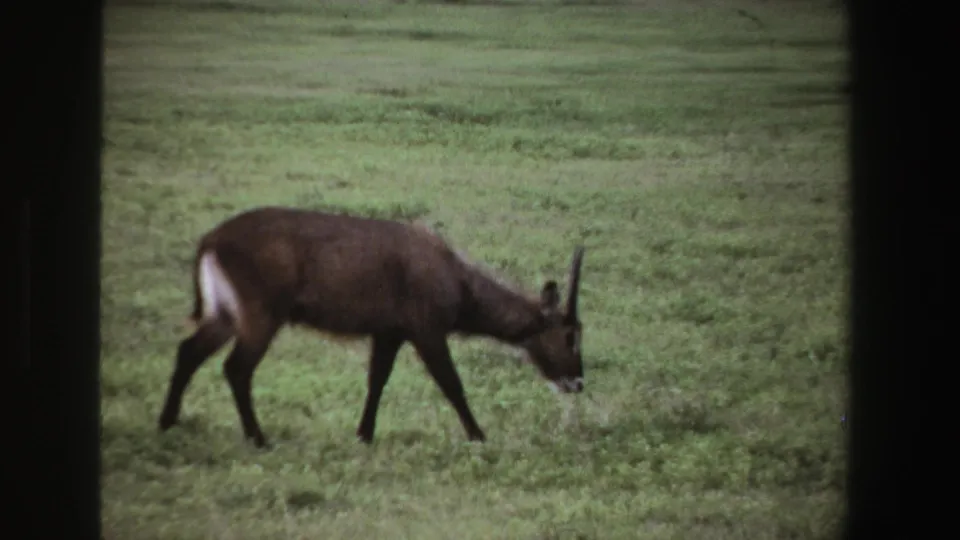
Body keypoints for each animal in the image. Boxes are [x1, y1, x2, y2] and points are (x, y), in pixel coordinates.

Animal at [157, 206, 586, 448]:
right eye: (571, 335)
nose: (578, 382)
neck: (456, 280)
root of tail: (211, 240)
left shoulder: (389, 332)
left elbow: (377, 380)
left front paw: (363, 435)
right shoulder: (427, 330)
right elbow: (452, 384)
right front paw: (479, 437)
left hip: (225, 314)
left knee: (188, 351)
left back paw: (167, 423)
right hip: (260, 315)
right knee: (236, 368)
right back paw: (258, 439)